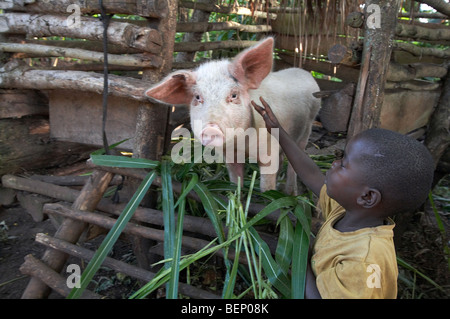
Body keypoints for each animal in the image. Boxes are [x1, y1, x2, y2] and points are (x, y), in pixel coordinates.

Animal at [144, 36, 320, 194]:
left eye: (234, 95)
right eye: (198, 97)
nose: (211, 129)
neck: (242, 145)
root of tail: (304, 72)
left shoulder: (269, 149)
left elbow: (266, 185)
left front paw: (269, 195)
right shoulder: (229, 155)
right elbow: (235, 182)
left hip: (307, 128)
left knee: (294, 162)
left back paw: (291, 194)